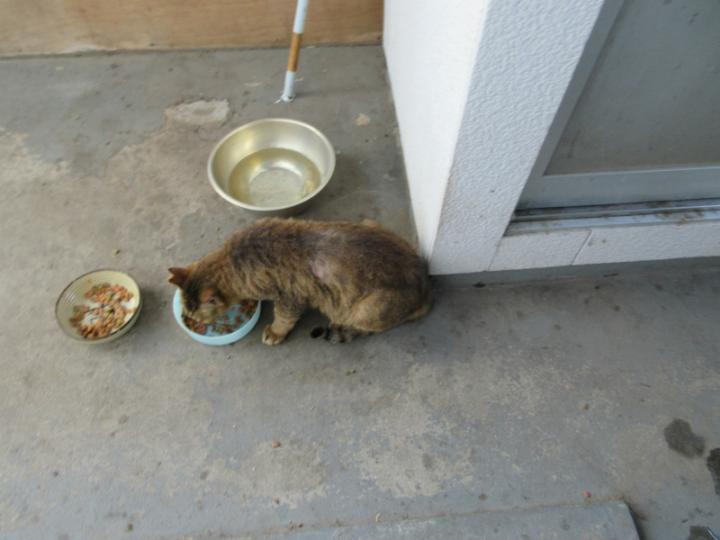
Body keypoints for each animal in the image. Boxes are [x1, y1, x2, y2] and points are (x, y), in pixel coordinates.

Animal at [168, 218, 431, 345]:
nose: (190, 322)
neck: (233, 259)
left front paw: (275, 332)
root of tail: (425, 286)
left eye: (195, 317)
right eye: (188, 315)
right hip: (370, 223)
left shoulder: (289, 297)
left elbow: (283, 318)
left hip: (368, 308)